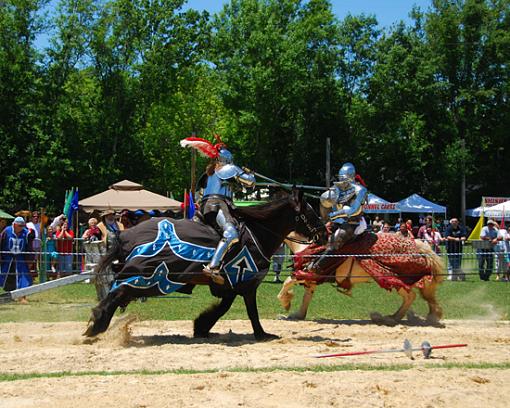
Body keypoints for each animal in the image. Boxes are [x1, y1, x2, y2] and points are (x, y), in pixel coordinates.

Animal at [84, 190, 322, 340]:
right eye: (311, 212)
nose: (324, 232)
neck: (258, 234)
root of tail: (125, 236)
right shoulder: (246, 283)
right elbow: (251, 311)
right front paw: (262, 334)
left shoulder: (229, 287)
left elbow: (224, 308)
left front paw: (201, 326)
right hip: (149, 278)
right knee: (117, 293)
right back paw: (96, 324)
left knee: (116, 294)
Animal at [276, 233, 444, 326]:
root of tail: (416, 244)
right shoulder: (311, 281)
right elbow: (306, 298)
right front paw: (297, 315)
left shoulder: (306, 273)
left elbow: (287, 282)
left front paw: (286, 303)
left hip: (393, 279)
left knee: (410, 296)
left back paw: (391, 318)